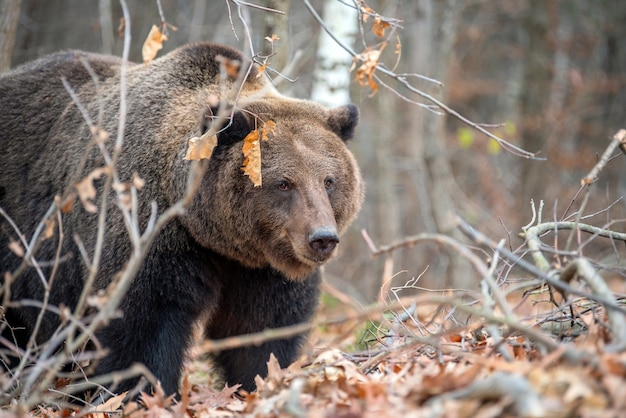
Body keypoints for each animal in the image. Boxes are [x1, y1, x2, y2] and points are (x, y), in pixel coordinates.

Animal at [0, 42, 364, 398]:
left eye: (329, 181)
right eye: (284, 183)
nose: (322, 238)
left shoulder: (259, 268)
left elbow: (262, 328)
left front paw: (260, 382)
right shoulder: (151, 234)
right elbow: (143, 327)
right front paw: (143, 391)